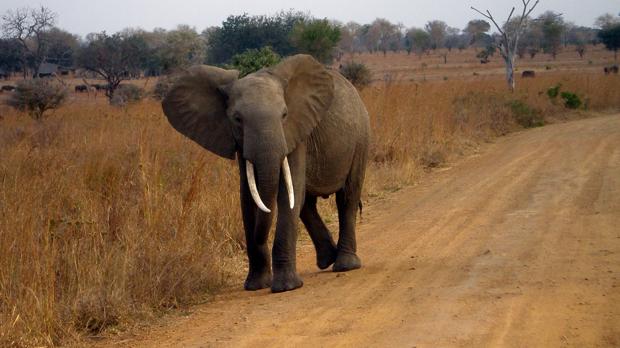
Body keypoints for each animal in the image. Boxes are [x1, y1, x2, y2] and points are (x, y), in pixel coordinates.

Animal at [162, 55, 370, 294]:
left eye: (284, 114)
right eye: (237, 119)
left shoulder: (295, 132)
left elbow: (287, 195)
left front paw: (286, 287)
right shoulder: (240, 144)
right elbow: (248, 198)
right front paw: (256, 285)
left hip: (360, 138)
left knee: (346, 197)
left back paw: (345, 265)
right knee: (306, 204)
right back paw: (327, 259)